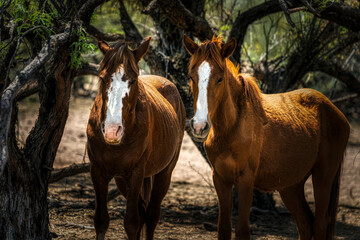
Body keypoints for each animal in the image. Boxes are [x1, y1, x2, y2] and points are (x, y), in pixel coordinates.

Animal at [86, 36, 184, 239]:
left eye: (132, 81)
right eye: (102, 78)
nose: (111, 131)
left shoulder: (136, 173)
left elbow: (131, 223)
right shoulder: (97, 171)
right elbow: (101, 221)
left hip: (164, 172)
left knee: (151, 215)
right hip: (122, 180)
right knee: (142, 211)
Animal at [183, 34, 348, 240]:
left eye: (220, 78)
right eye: (191, 76)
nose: (199, 126)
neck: (231, 128)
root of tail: (334, 110)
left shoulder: (246, 180)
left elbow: (242, 231)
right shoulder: (220, 179)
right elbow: (223, 229)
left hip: (323, 177)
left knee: (319, 225)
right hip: (290, 185)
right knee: (305, 224)